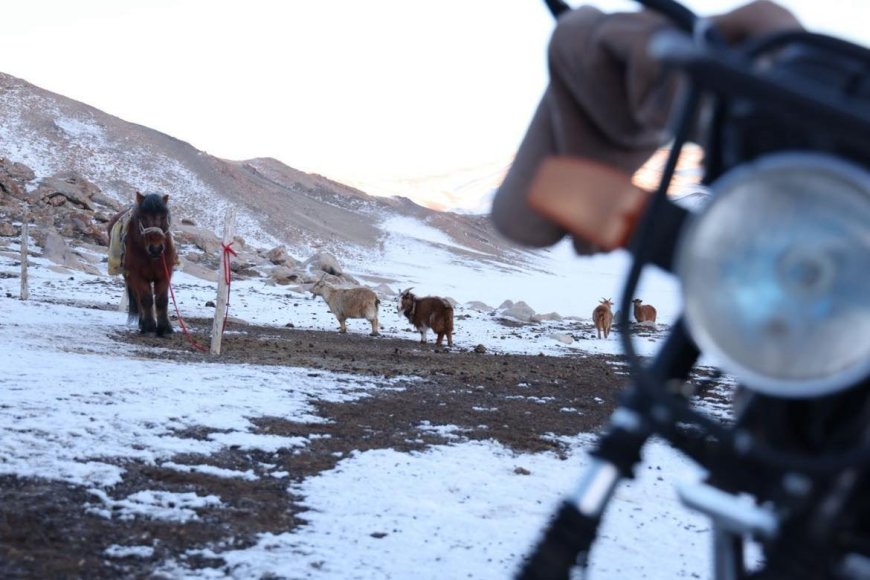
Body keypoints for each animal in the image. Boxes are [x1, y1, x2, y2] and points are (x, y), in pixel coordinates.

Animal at [107, 191, 177, 336]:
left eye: (163, 216)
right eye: (143, 217)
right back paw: (142, 323)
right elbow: (146, 299)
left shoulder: (165, 273)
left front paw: (165, 328)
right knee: (139, 299)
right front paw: (149, 327)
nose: (156, 248)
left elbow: (162, 300)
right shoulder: (137, 275)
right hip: (129, 278)